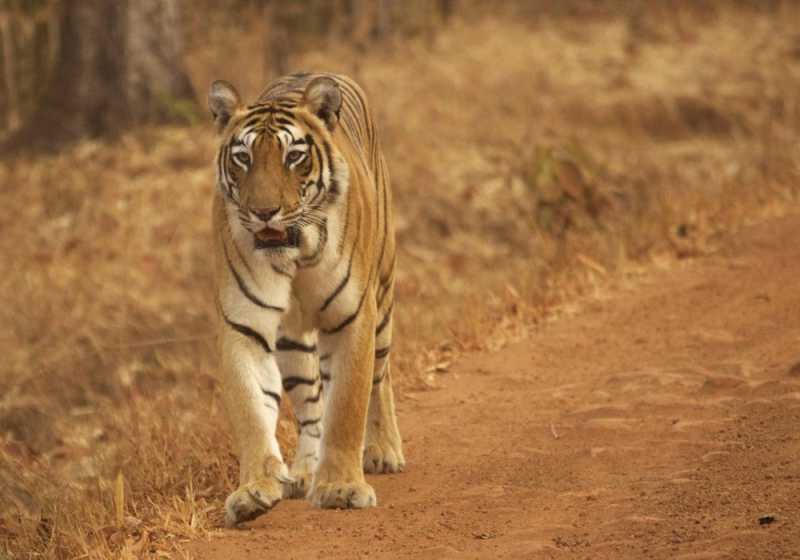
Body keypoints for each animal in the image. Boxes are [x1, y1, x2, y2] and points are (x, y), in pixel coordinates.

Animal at [207, 72, 404, 527]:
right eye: (243, 157)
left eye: (294, 156)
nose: (264, 212)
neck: (294, 252)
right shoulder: (244, 326)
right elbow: (251, 411)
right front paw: (254, 491)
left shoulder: (353, 318)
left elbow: (347, 405)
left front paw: (342, 488)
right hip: (292, 339)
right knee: (312, 404)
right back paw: (304, 470)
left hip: (383, 299)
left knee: (380, 378)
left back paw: (384, 451)